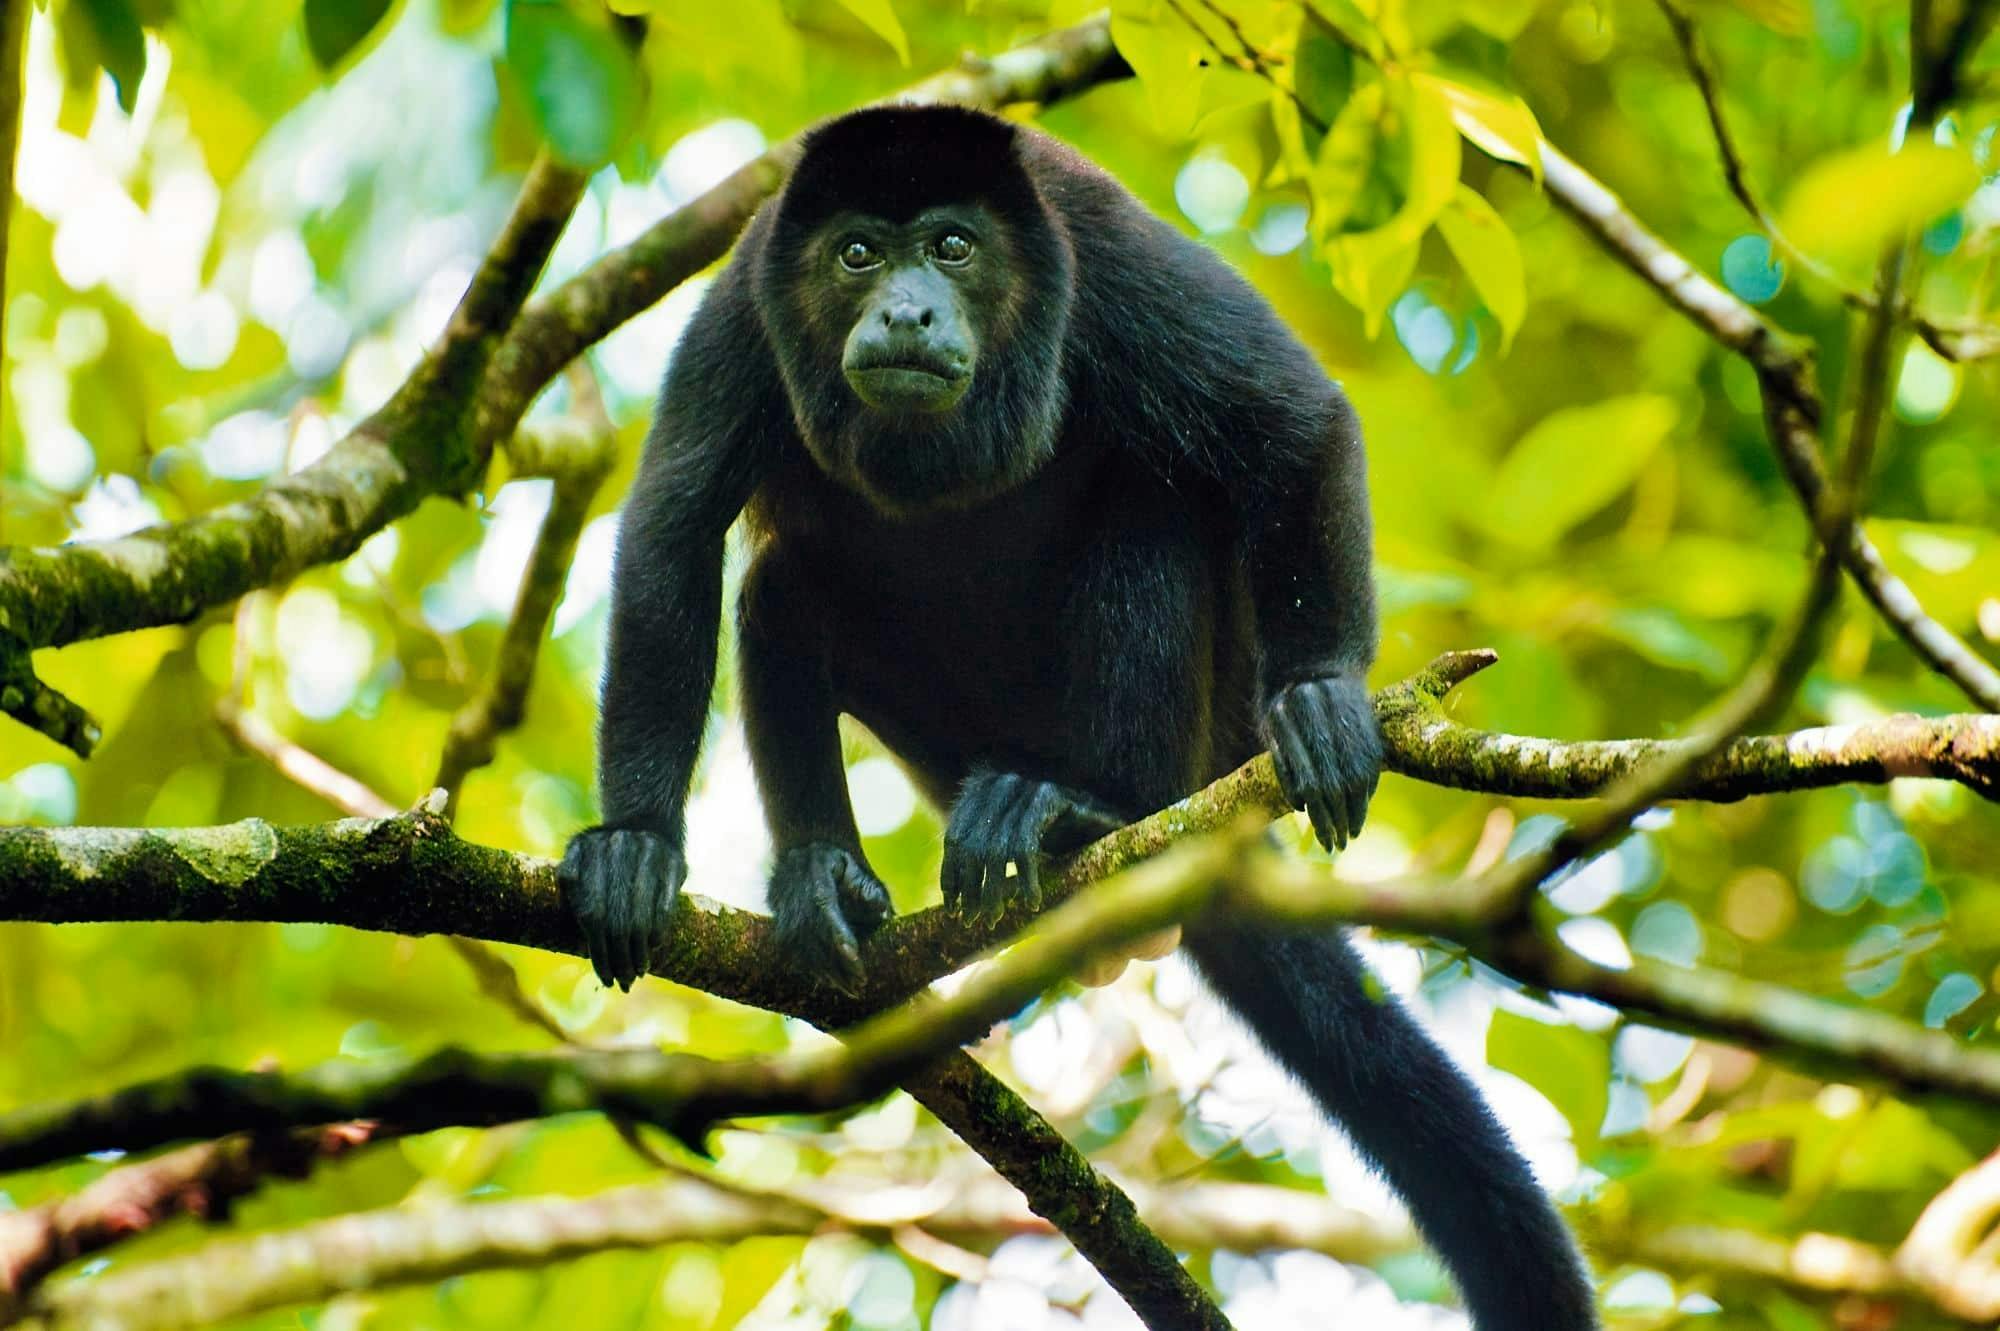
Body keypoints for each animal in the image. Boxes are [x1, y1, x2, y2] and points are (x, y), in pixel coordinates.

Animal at [564, 106, 1592, 1327]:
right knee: (781, 587)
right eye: (857, 254)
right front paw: (635, 842)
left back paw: (1080, 811)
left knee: (1151, 500)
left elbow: (1291, 421)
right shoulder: (739, 306)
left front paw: (1320, 692)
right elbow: (670, 533)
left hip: (1193, 733)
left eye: (952, 247)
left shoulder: (1109, 260)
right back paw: (828, 876)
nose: (905, 309)